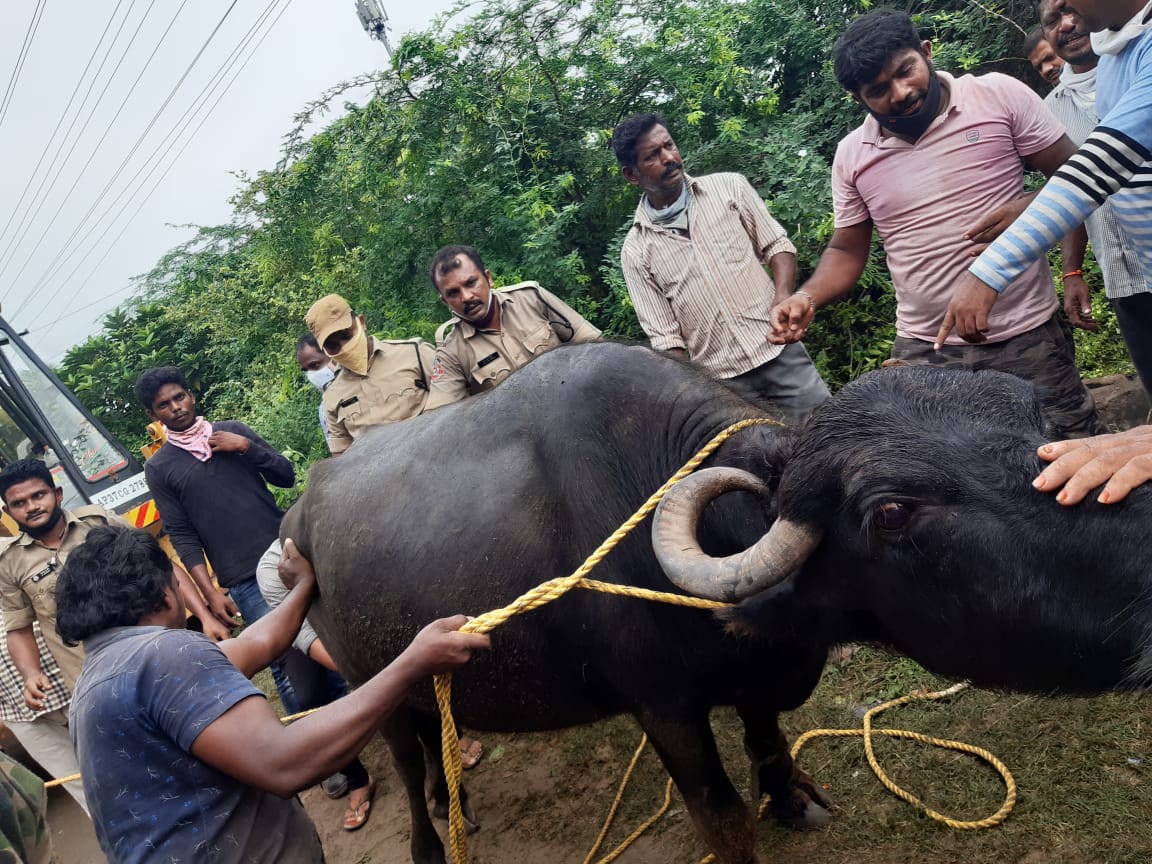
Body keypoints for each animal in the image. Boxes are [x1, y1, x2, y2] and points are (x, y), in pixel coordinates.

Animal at [281, 345, 1152, 864]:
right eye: (892, 513)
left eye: (1030, 414)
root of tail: (301, 519)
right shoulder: (663, 708)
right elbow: (723, 818)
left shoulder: (761, 670)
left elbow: (769, 738)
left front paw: (792, 799)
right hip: (368, 682)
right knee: (401, 752)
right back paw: (431, 839)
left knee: (432, 739)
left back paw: (447, 795)